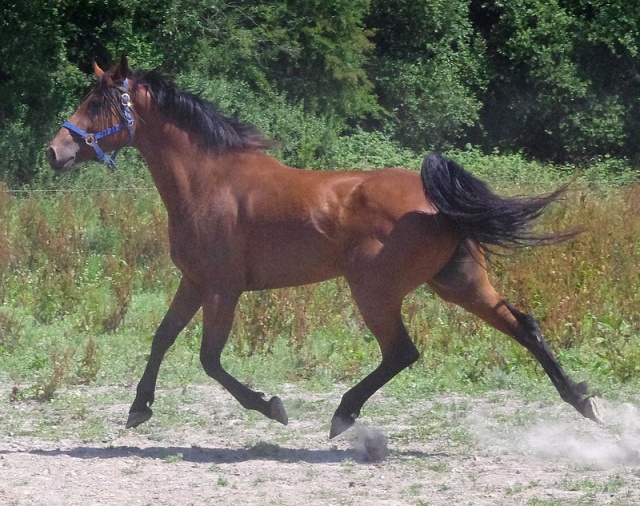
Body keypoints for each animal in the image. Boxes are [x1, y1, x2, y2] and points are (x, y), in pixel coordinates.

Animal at [45, 56, 600, 438]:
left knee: (402, 352)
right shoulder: (195, 282)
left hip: (375, 291)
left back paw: (343, 414)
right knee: (524, 325)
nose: (55, 152)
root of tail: (434, 200)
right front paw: (139, 407)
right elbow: (162, 339)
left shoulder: (223, 288)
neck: (210, 181)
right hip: (458, 283)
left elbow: (209, 359)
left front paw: (271, 406)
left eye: (96, 104)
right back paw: (581, 399)